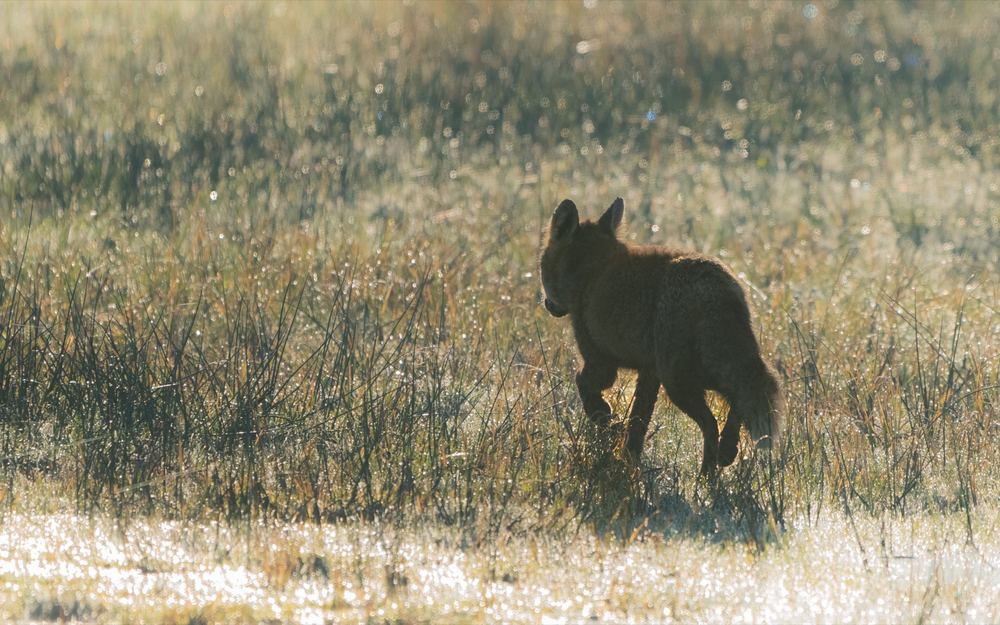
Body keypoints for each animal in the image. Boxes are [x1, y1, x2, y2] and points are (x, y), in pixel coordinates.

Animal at [539, 197, 783, 475]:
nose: (548, 305)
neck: (593, 273)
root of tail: (714, 286)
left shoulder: (600, 361)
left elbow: (585, 387)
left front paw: (607, 421)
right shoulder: (649, 371)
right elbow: (638, 423)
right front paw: (628, 457)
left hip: (678, 380)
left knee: (712, 423)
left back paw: (706, 477)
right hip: (704, 372)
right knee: (737, 402)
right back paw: (727, 452)